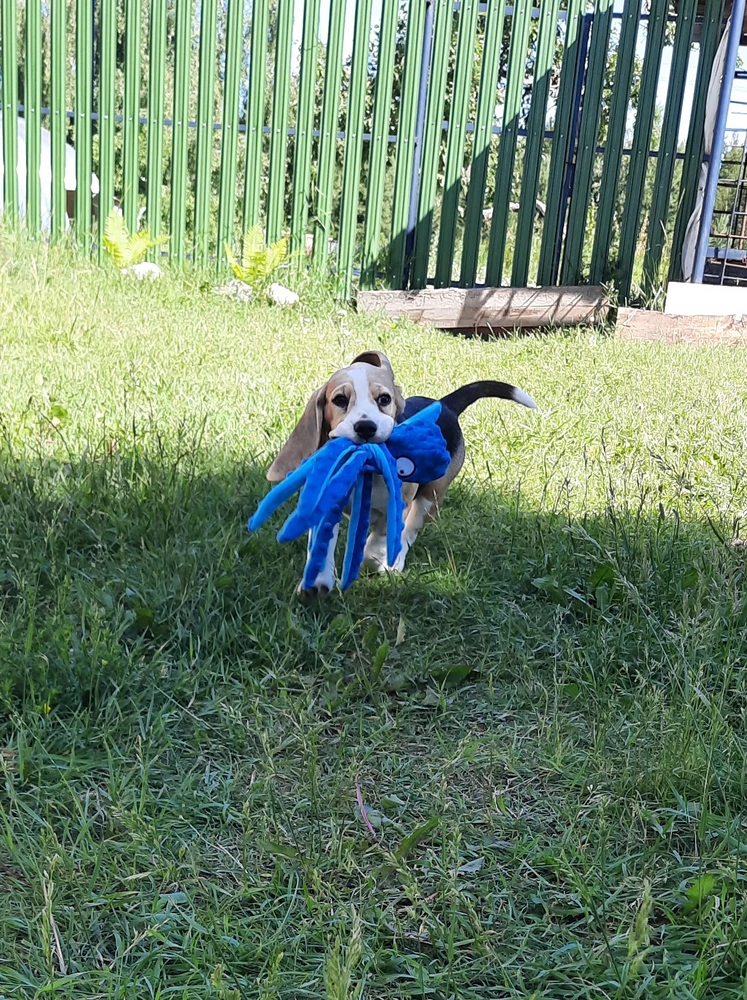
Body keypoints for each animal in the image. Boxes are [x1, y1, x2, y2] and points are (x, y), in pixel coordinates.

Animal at [266, 352, 536, 596]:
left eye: (384, 399)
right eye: (340, 399)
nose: (366, 427)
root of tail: (445, 405)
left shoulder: (397, 506)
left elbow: (379, 539)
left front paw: (372, 558)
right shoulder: (326, 502)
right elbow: (323, 542)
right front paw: (318, 582)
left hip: (430, 499)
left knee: (408, 533)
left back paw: (392, 563)